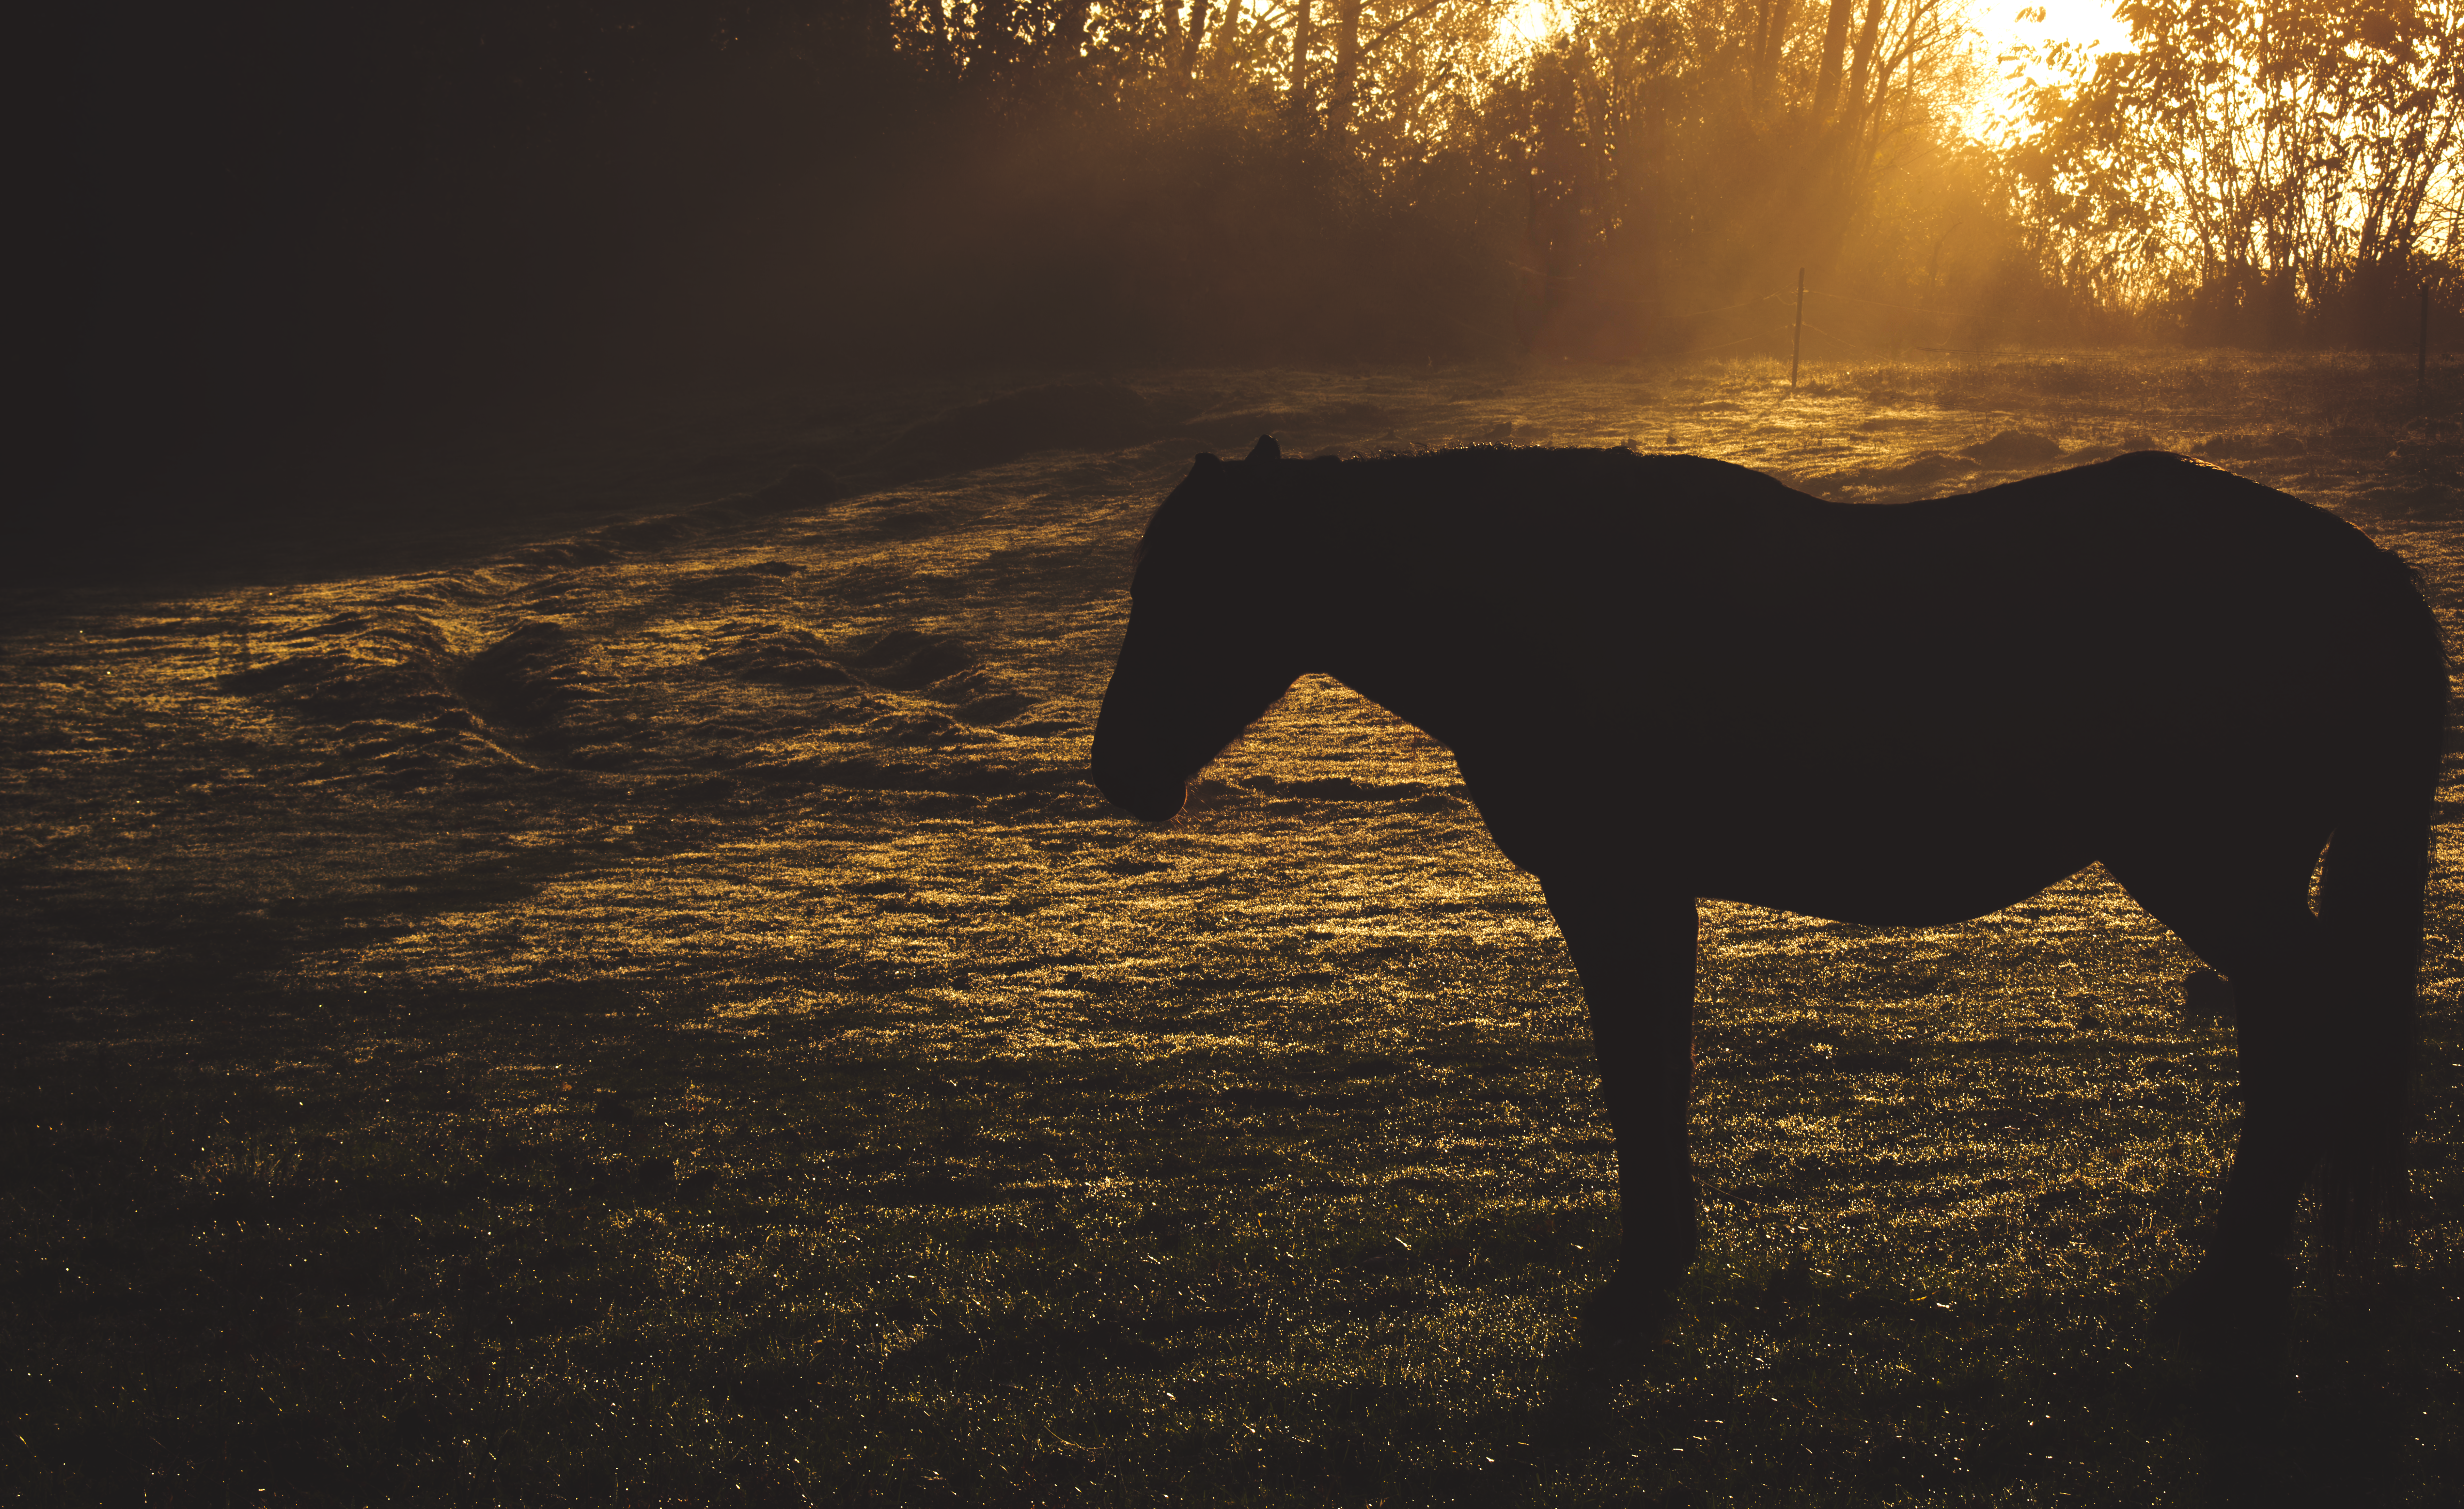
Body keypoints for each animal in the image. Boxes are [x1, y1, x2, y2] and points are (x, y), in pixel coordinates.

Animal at [1089, 435, 2444, 1353]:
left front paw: (1644, 1267)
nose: (1115, 769)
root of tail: (2366, 571)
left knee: (2309, 1022)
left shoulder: (1617, 885)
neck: (1553, 601)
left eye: (1196, 587)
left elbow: (1635, 1066)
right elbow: (1649, 1064)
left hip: (2208, 868)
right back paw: (2246, 1275)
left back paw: (2223, 1281)